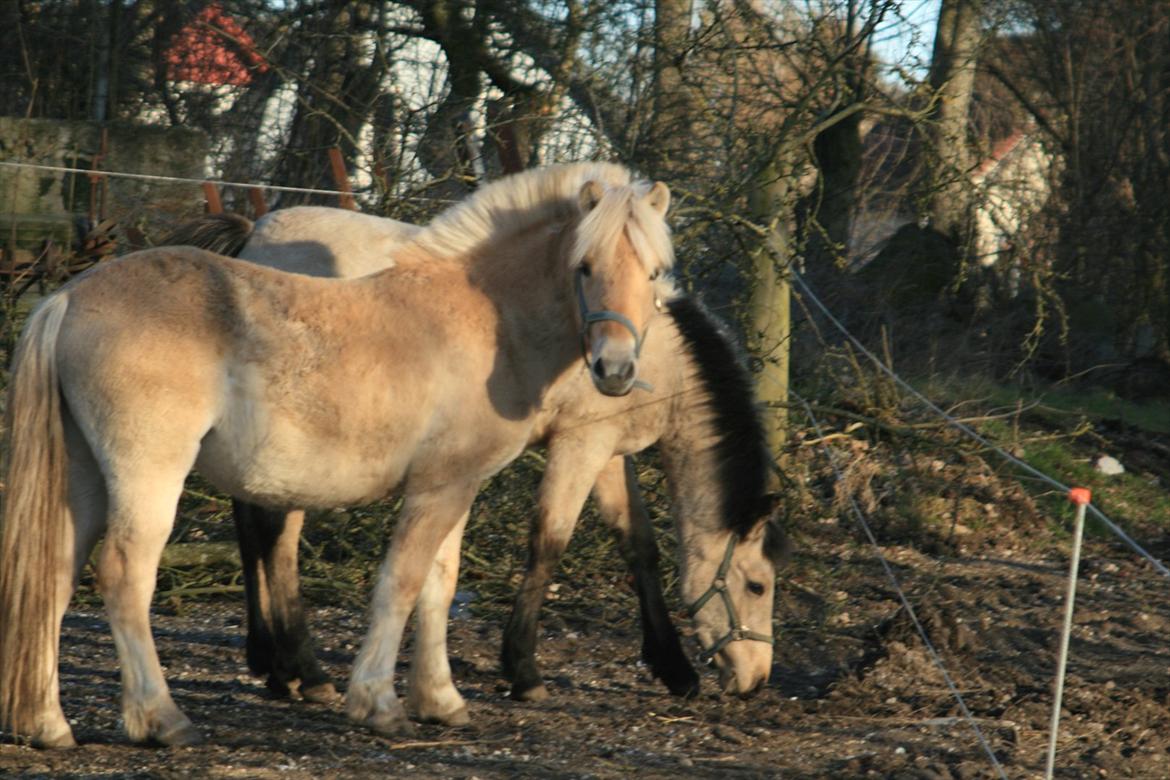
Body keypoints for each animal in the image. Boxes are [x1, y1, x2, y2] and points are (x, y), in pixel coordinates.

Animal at [0, 160, 678, 748]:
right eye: (584, 266)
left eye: (652, 273)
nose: (616, 369)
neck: (487, 320)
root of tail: (69, 296)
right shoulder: (438, 490)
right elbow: (400, 583)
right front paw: (379, 703)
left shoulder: (454, 485)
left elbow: (439, 585)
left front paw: (440, 700)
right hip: (147, 478)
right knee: (122, 575)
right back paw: (162, 719)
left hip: (85, 478)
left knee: (53, 573)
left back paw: (47, 724)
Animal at [164, 204, 786, 706]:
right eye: (757, 585)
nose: (757, 678)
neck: (659, 352)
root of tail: (257, 232)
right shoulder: (581, 444)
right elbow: (549, 541)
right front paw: (523, 670)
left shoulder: (608, 449)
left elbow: (640, 546)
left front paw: (673, 667)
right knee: (273, 535)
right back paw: (299, 668)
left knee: (251, 524)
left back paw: (271, 663)